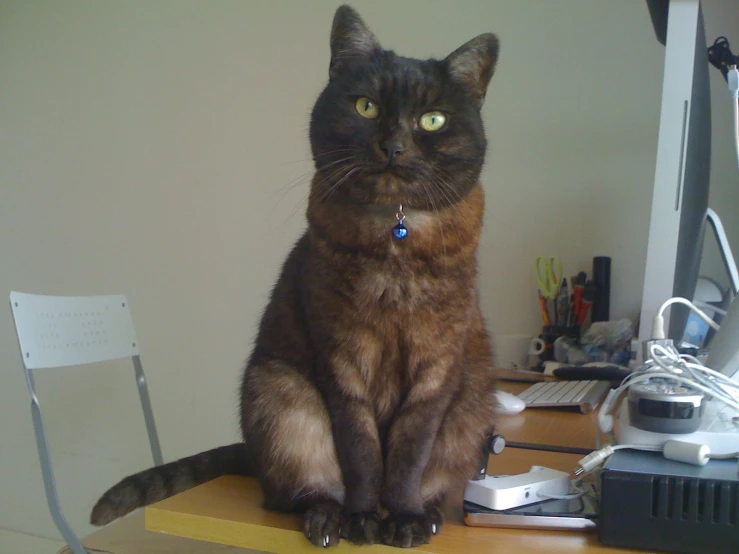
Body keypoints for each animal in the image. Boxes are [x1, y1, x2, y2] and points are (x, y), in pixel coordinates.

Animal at [89, 4, 500, 544]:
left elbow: (410, 455)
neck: (396, 238)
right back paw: (327, 518)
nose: (393, 145)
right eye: (366, 107)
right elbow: (362, 452)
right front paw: (362, 520)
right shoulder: (342, 361)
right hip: (282, 393)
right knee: (293, 492)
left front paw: (404, 518)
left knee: (436, 477)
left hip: (472, 407)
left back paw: (427, 517)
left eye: (432, 120)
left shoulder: (435, 370)